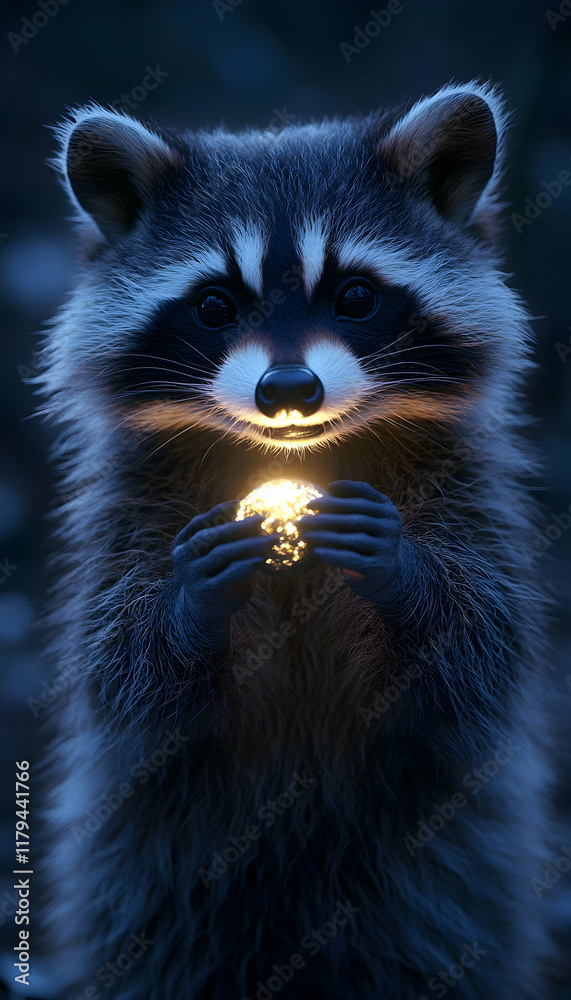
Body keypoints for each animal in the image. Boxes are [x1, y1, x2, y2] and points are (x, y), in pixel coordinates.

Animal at [38, 81, 552, 999]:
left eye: (354, 296)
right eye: (214, 306)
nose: (286, 391)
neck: (297, 453)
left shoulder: (473, 493)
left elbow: (477, 655)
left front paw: (404, 574)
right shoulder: (122, 510)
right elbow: (123, 672)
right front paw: (188, 603)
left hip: (448, 870)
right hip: (143, 868)